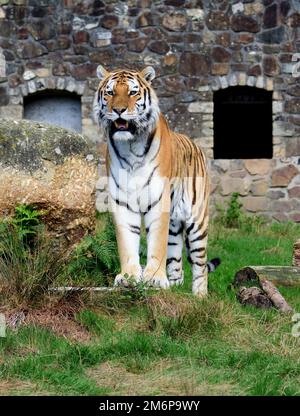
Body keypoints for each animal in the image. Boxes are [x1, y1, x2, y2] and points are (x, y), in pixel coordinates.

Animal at [94, 65, 220, 296]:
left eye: (132, 92)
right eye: (110, 92)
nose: (119, 110)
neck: (131, 146)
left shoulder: (159, 200)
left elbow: (156, 244)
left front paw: (154, 279)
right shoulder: (122, 202)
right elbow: (127, 242)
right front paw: (128, 277)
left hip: (197, 220)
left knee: (200, 264)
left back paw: (199, 296)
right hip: (174, 224)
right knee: (177, 261)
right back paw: (175, 286)